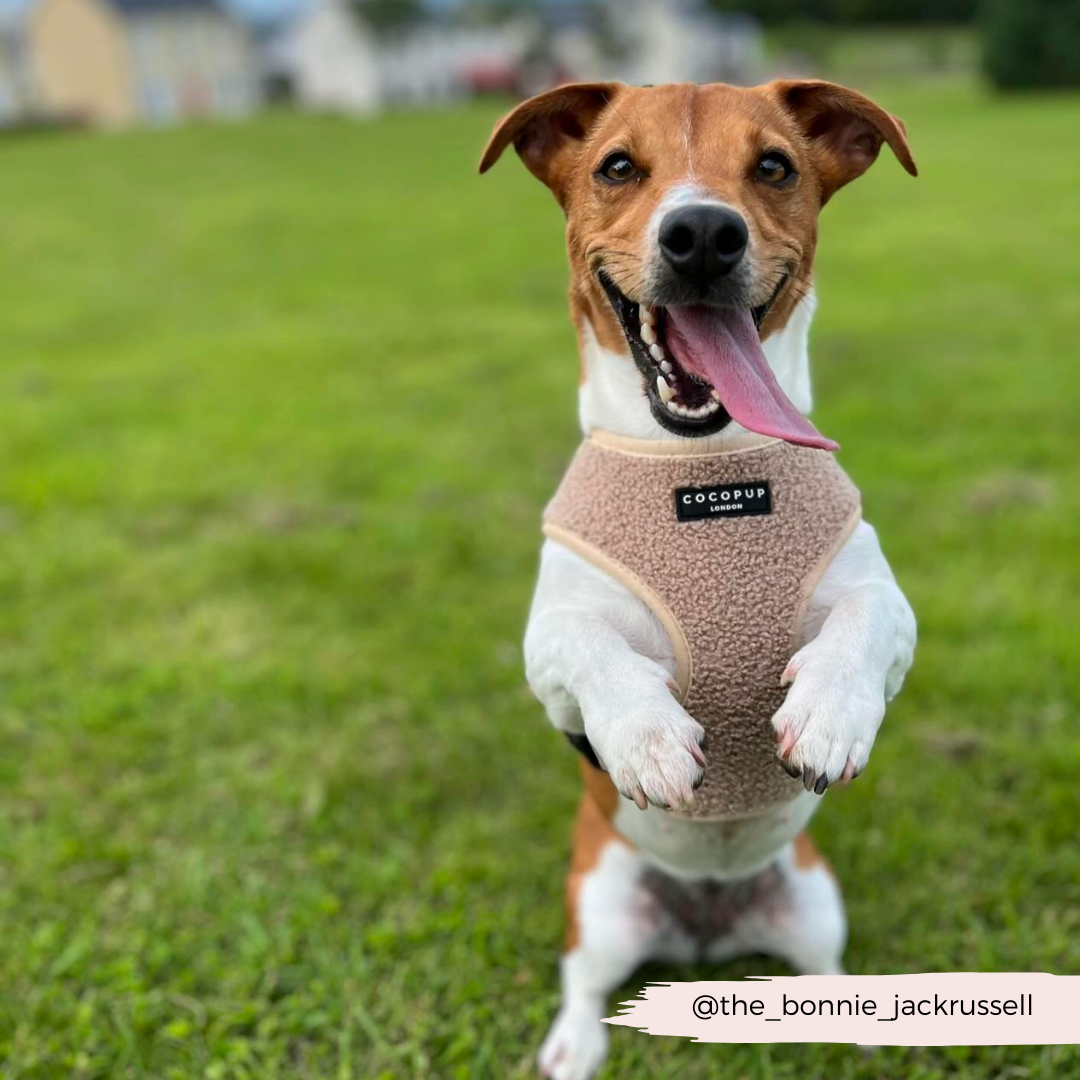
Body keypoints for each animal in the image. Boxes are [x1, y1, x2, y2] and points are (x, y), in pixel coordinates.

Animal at [481, 79, 920, 1075]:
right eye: (616, 166)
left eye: (774, 166)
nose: (705, 234)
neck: (704, 471)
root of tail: (706, 931)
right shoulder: (545, 646)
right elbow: (588, 642)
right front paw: (644, 734)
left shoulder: (888, 603)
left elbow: (868, 618)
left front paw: (831, 713)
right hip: (600, 901)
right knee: (585, 984)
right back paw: (570, 1045)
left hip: (815, 901)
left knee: (823, 973)